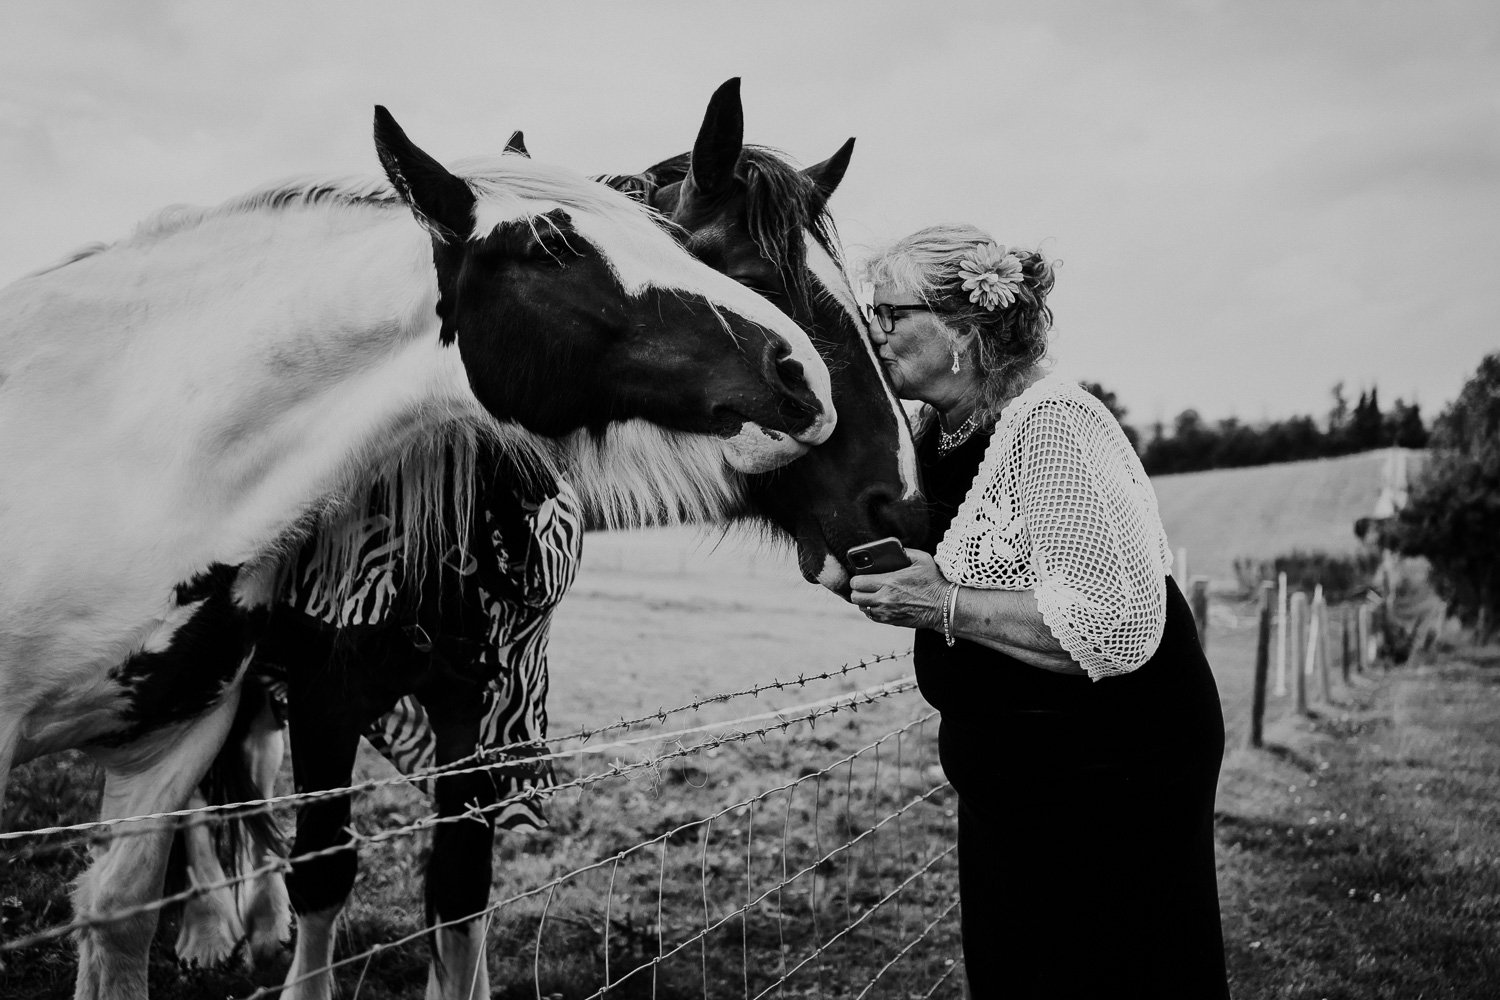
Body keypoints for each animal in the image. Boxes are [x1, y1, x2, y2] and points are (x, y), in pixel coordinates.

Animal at [0, 107, 834, 1000]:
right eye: (549, 248)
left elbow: (125, 913)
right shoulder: (306, 699)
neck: (128, 450)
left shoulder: (189, 731)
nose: (802, 373)